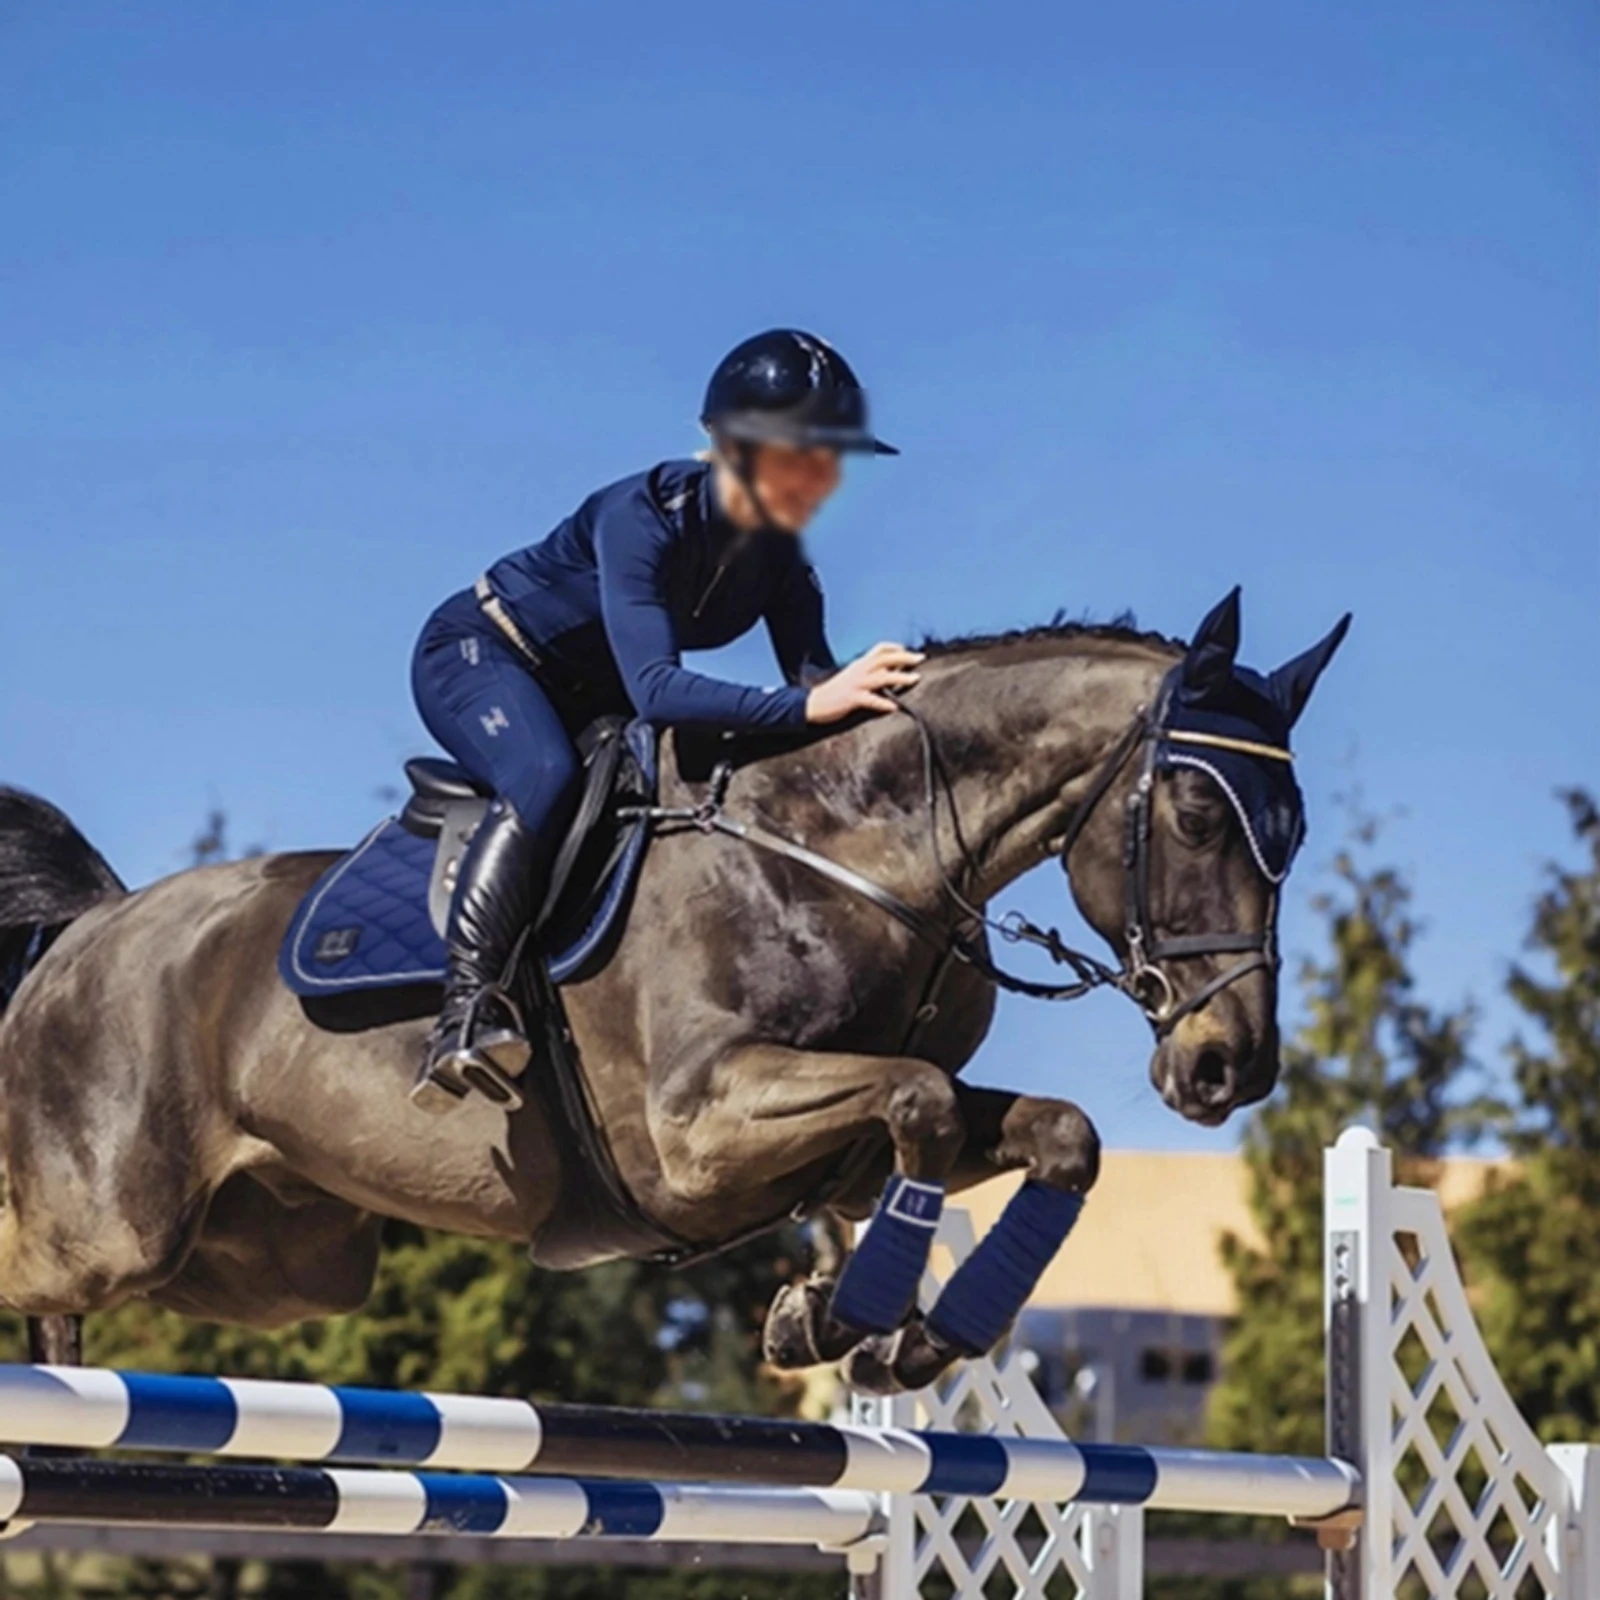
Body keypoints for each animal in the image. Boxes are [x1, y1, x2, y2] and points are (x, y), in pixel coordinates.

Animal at [0, 590, 1347, 1390]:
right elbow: (912, 1096)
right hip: (110, 1223)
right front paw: (840, 1317)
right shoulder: (698, 1126)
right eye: (1195, 814)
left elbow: (1050, 1134)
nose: (1231, 1064)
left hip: (274, 1260)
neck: (846, 847)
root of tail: (87, 932)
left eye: (1293, 832)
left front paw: (889, 1331)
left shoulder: (839, 1140)